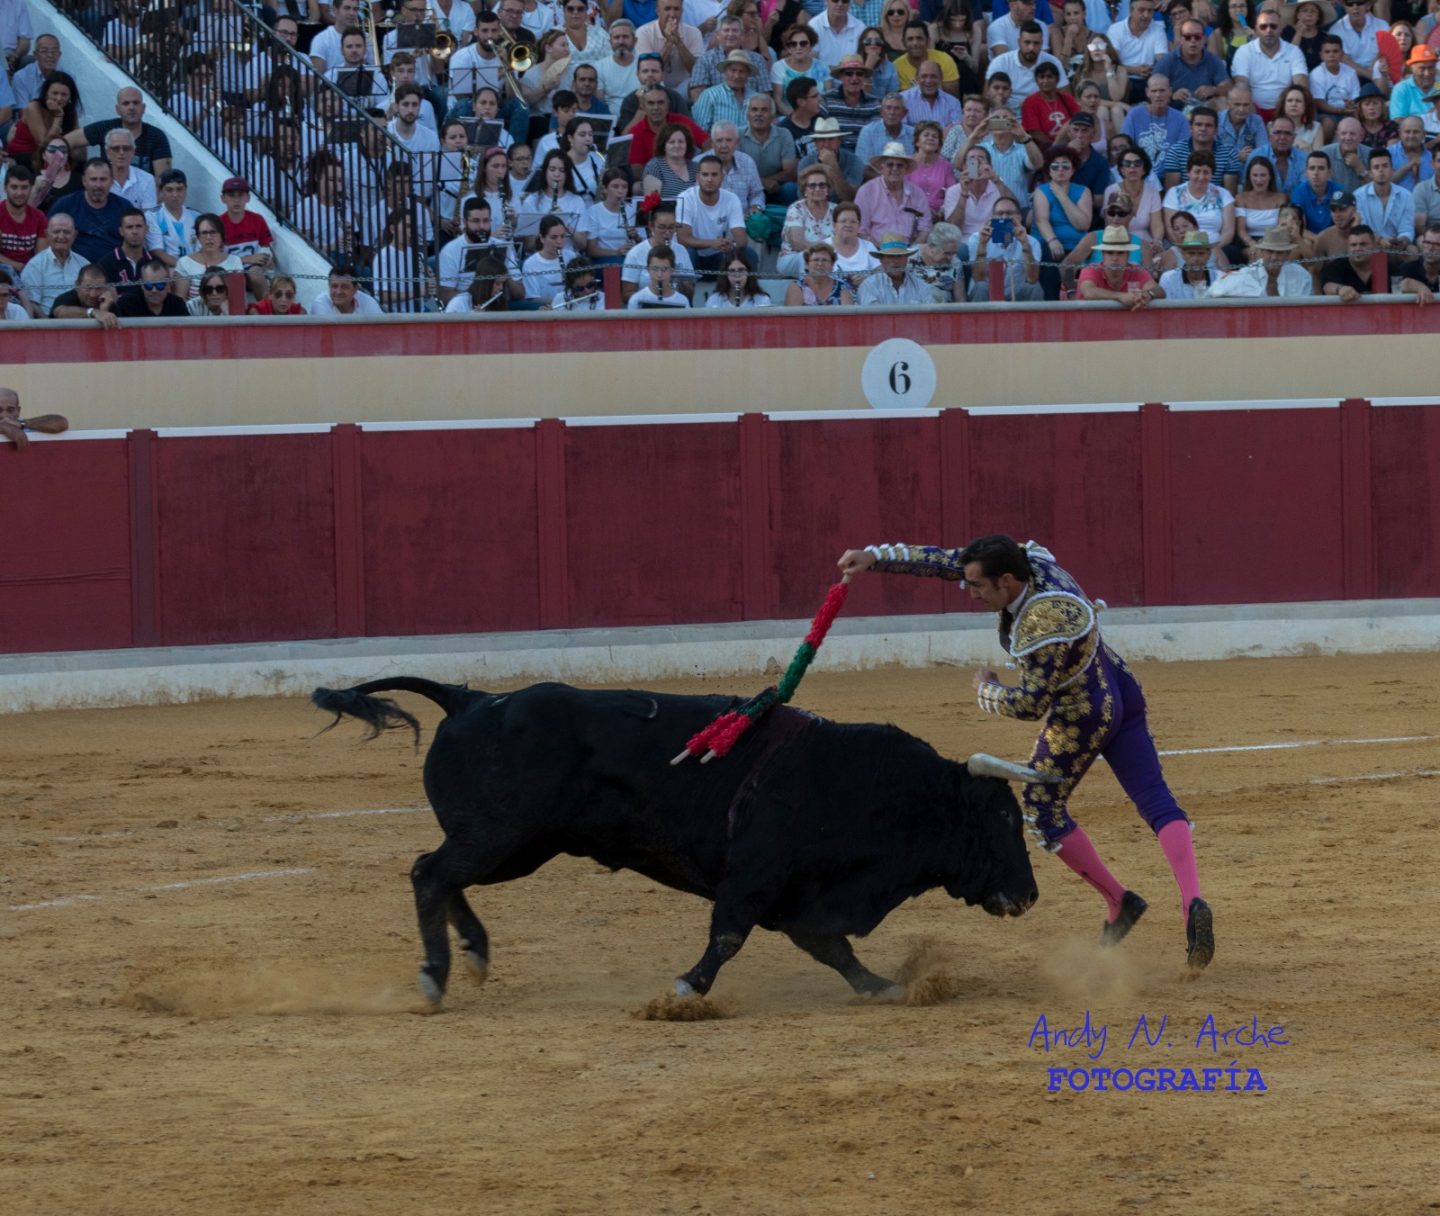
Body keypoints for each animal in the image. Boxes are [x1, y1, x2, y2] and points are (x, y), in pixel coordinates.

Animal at [312, 680, 1036, 1002]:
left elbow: (831, 948)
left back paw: (475, 954)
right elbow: (729, 934)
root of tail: (470, 699)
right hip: (500, 836)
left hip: (515, 847)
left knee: (442, 875)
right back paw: (435, 976)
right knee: (430, 873)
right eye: (1004, 821)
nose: (1029, 895)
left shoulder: (800, 895)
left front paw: (882, 985)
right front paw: (686, 989)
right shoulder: (756, 877)